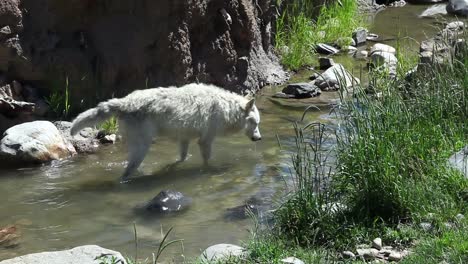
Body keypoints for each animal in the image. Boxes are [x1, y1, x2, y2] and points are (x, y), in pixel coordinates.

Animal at [69, 83, 262, 183]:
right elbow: (207, 161)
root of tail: (124, 102)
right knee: (125, 174)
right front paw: (210, 170)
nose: (259, 138)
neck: (226, 108)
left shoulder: (184, 139)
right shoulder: (205, 141)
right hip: (143, 147)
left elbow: (181, 159)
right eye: (255, 123)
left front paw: (170, 168)